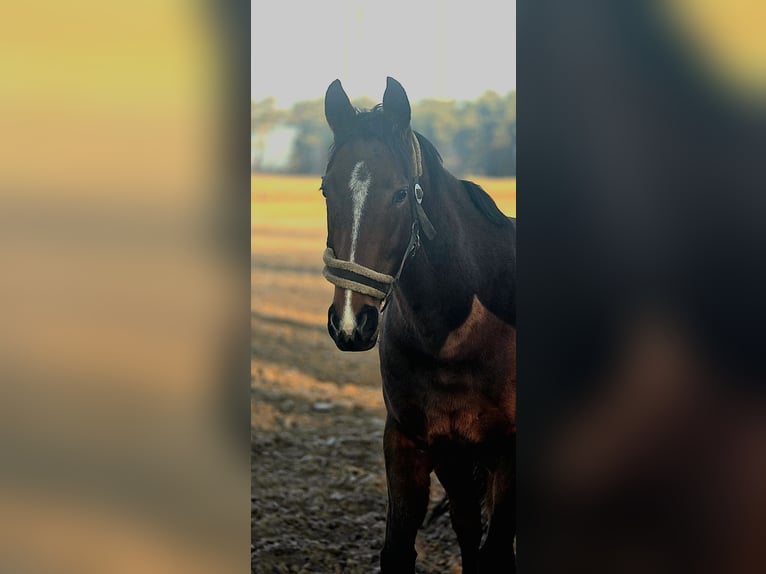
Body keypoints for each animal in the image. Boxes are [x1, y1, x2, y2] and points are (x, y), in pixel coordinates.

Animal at [320, 77, 516, 573]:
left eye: (401, 194)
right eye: (326, 190)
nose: (350, 322)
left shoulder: (509, 453)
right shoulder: (413, 442)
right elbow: (400, 549)